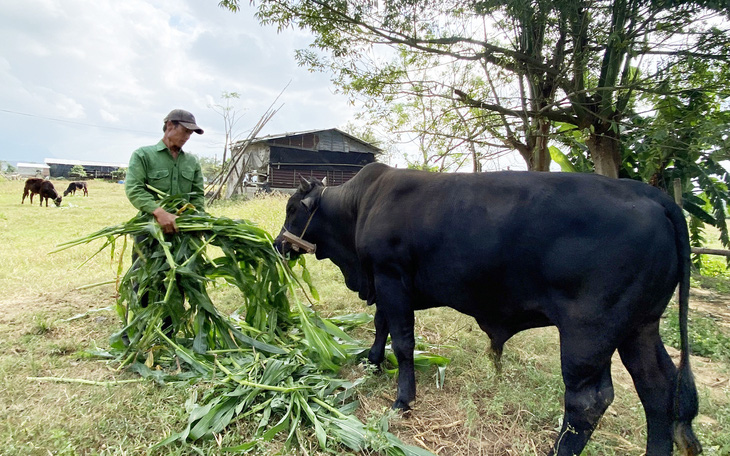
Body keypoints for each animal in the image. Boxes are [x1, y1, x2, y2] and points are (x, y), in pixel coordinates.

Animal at [272, 164, 700, 456]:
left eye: (293, 208)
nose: (277, 244)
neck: (361, 207)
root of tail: (652, 195)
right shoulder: (384, 283)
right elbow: (382, 326)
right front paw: (372, 361)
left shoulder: (391, 278)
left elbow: (404, 342)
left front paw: (402, 399)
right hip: (640, 326)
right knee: (658, 387)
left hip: (588, 332)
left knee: (588, 401)